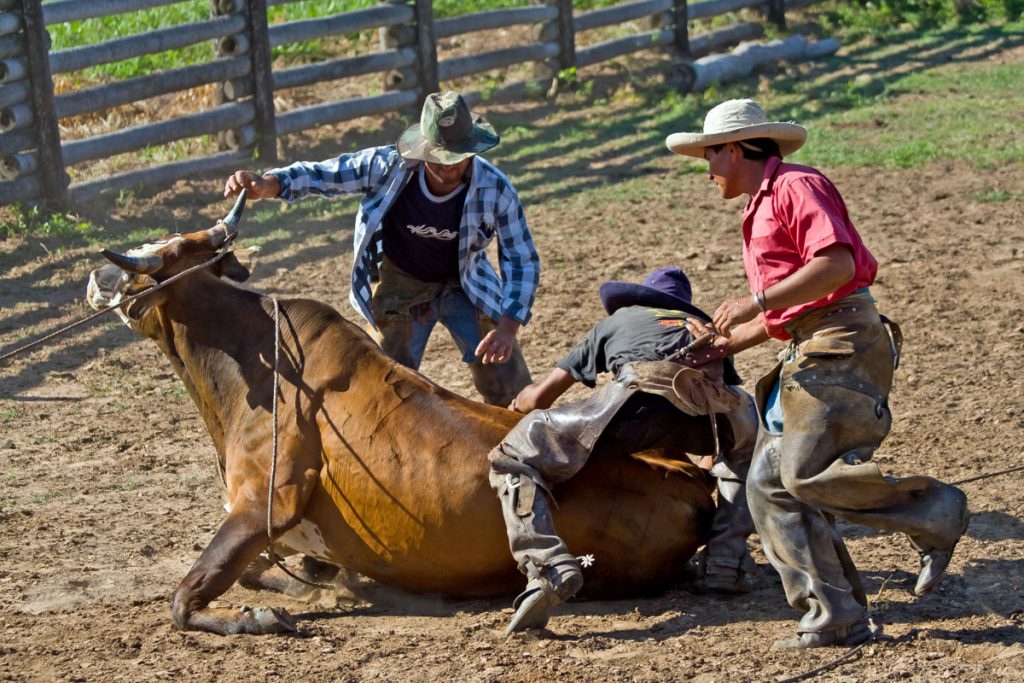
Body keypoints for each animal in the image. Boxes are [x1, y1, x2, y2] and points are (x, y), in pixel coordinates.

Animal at [86, 194, 712, 638]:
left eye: (140, 270)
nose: (96, 279)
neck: (259, 365)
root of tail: (695, 484)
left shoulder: (264, 504)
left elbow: (185, 599)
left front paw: (262, 617)